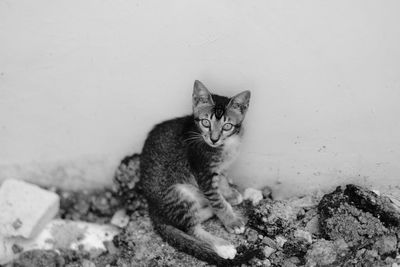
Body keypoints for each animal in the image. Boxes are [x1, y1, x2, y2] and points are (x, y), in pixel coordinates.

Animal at [140, 80, 250, 266]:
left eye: (227, 126)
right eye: (206, 123)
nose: (214, 139)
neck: (226, 145)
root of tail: (152, 206)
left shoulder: (219, 169)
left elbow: (222, 181)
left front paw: (229, 194)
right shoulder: (203, 173)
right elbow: (218, 201)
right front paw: (231, 221)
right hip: (178, 194)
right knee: (191, 228)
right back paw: (223, 246)